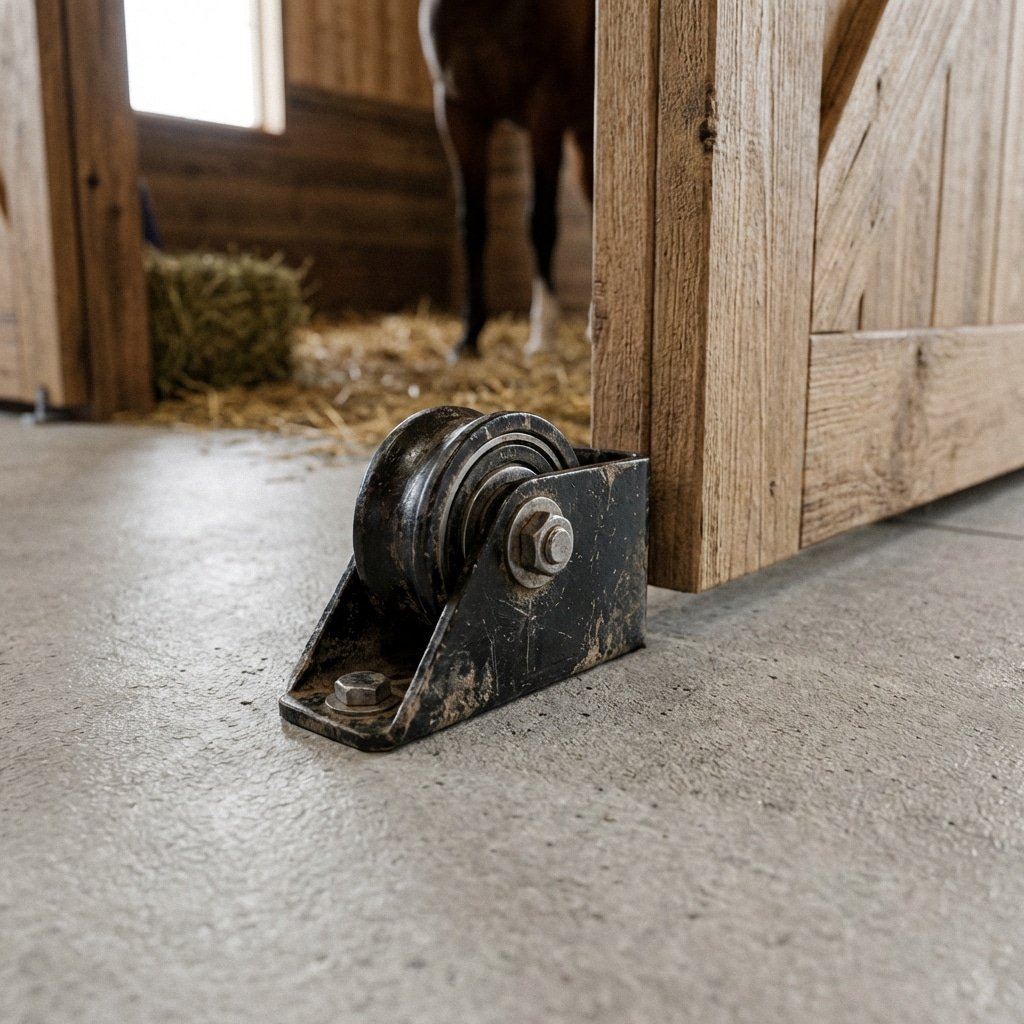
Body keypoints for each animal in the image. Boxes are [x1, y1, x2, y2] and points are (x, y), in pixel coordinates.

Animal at [418, 0, 595, 359]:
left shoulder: (545, 104)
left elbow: (541, 222)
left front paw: (542, 334)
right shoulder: (458, 112)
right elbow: (472, 224)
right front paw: (469, 336)